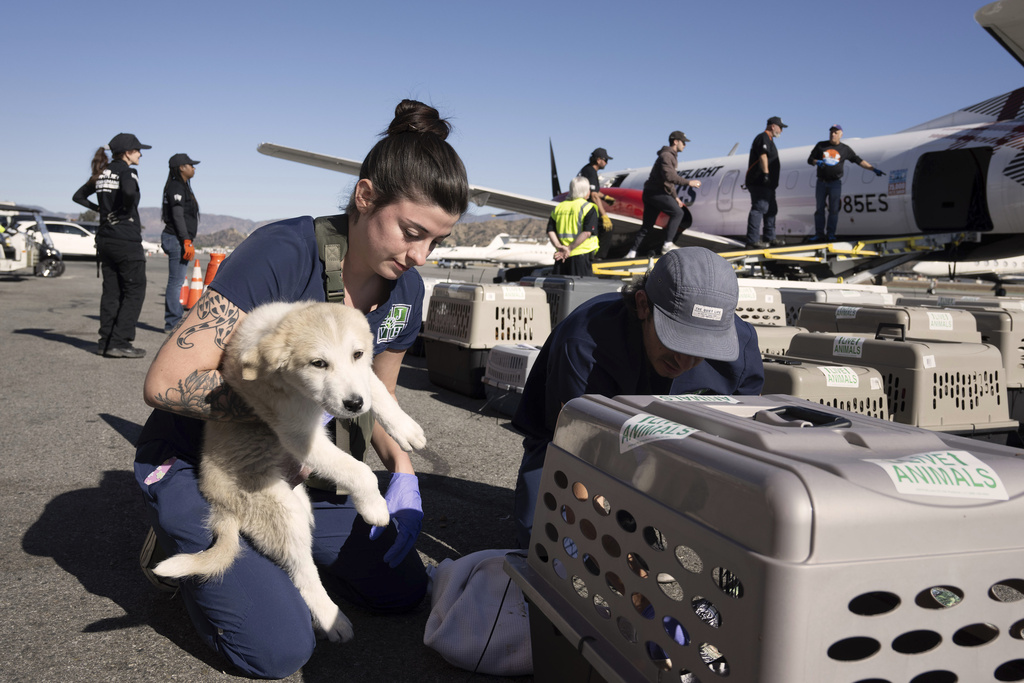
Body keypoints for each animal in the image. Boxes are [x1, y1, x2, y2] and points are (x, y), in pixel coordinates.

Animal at [151, 301, 423, 643]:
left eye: (358, 354)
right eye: (318, 364)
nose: (354, 405)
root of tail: (221, 506)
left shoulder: (360, 380)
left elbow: (379, 390)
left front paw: (406, 430)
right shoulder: (299, 435)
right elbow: (359, 470)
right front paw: (374, 506)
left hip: (299, 505)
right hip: (283, 512)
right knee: (302, 574)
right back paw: (333, 621)